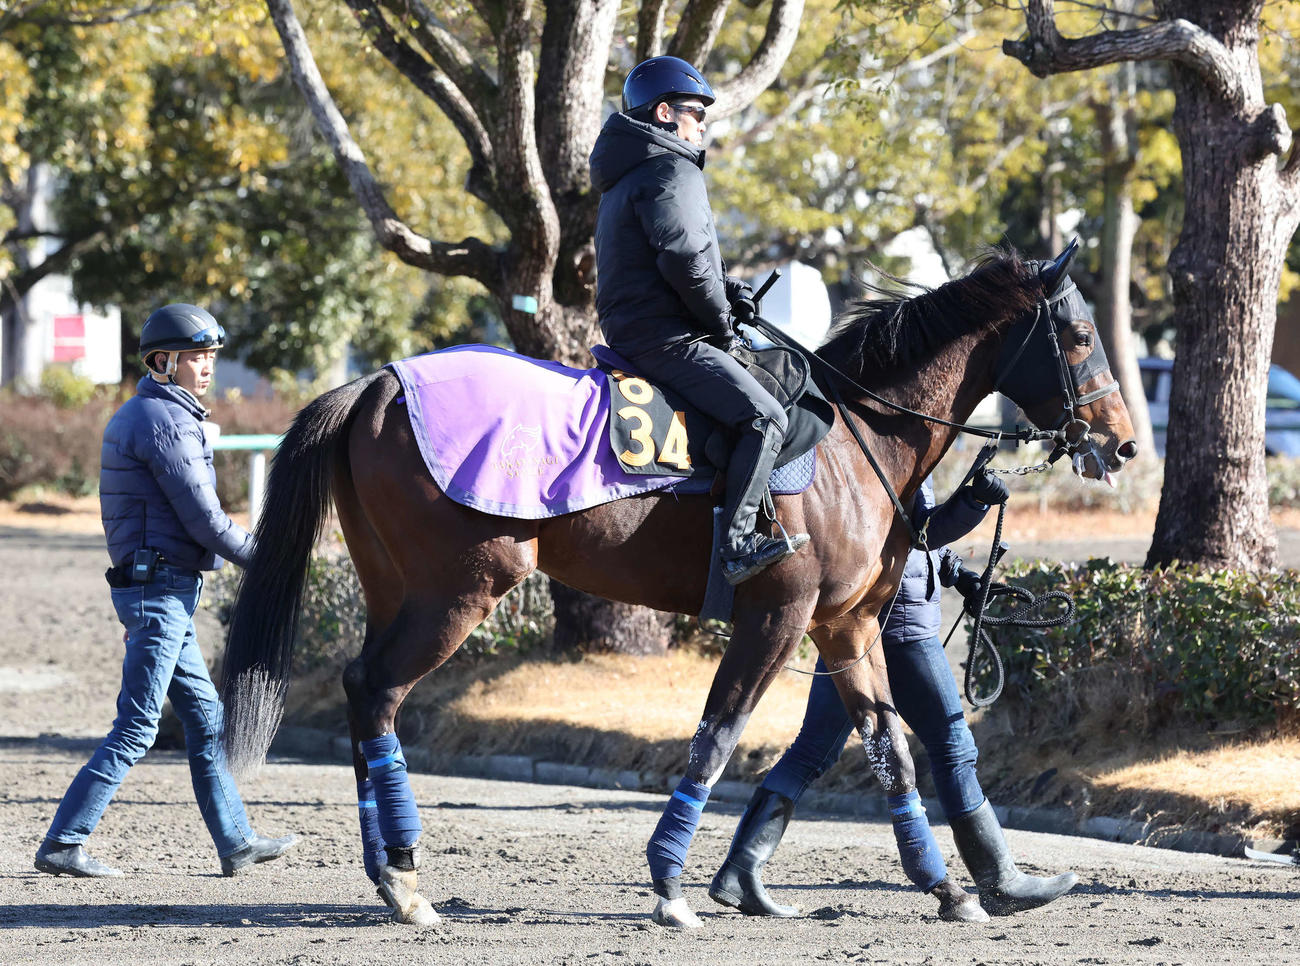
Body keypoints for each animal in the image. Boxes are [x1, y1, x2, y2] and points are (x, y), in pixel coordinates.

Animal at [219, 243, 1137, 928]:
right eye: (1078, 335)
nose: (1123, 443)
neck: (855, 435)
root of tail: (377, 382)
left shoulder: (845, 628)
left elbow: (890, 746)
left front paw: (948, 886)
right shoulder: (778, 615)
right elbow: (719, 732)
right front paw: (668, 882)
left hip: (397, 591)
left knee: (358, 686)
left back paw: (385, 863)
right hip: (459, 593)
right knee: (379, 694)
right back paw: (404, 876)